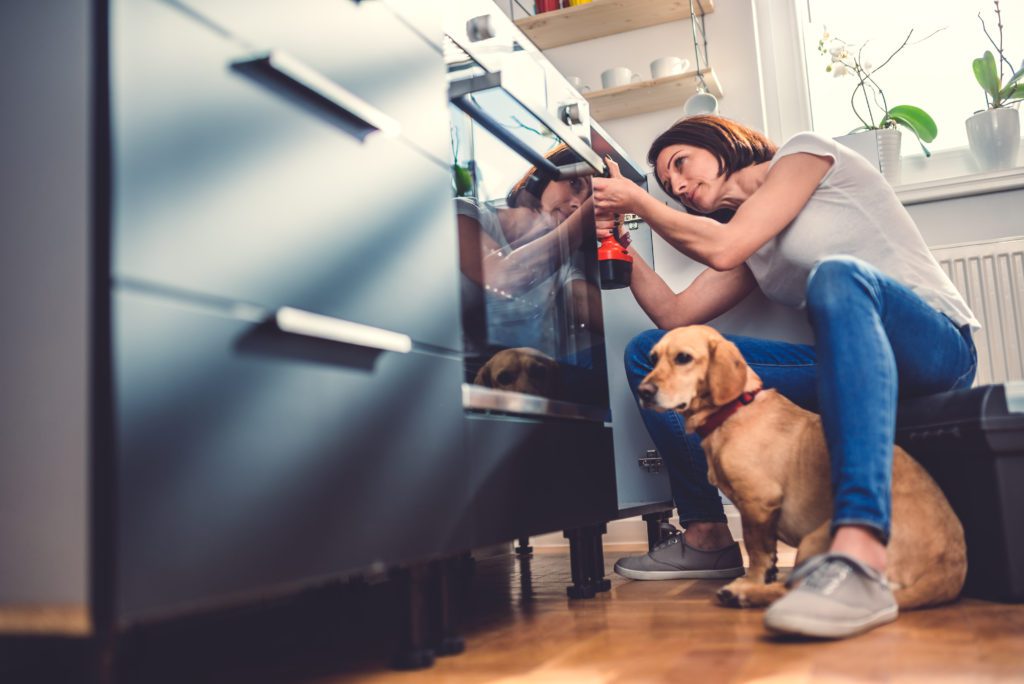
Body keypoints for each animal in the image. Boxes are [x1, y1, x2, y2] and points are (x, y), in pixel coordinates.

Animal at [638, 325, 966, 610]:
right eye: (653, 358)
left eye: (683, 358)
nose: (644, 391)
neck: (735, 409)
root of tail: (949, 571)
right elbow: (767, 554)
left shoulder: (758, 502)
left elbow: (756, 552)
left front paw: (751, 581)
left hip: (814, 541)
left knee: (792, 591)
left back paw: (744, 594)